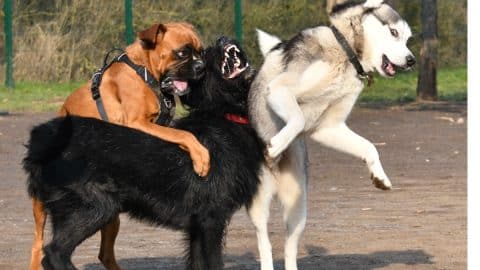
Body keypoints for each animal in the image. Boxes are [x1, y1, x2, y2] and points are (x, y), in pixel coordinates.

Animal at [23, 36, 262, 270]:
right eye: (207, 53)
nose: (223, 39)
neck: (223, 115)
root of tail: (41, 144)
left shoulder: (198, 227)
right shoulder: (212, 218)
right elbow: (213, 262)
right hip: (94, 208)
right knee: (54, 252)